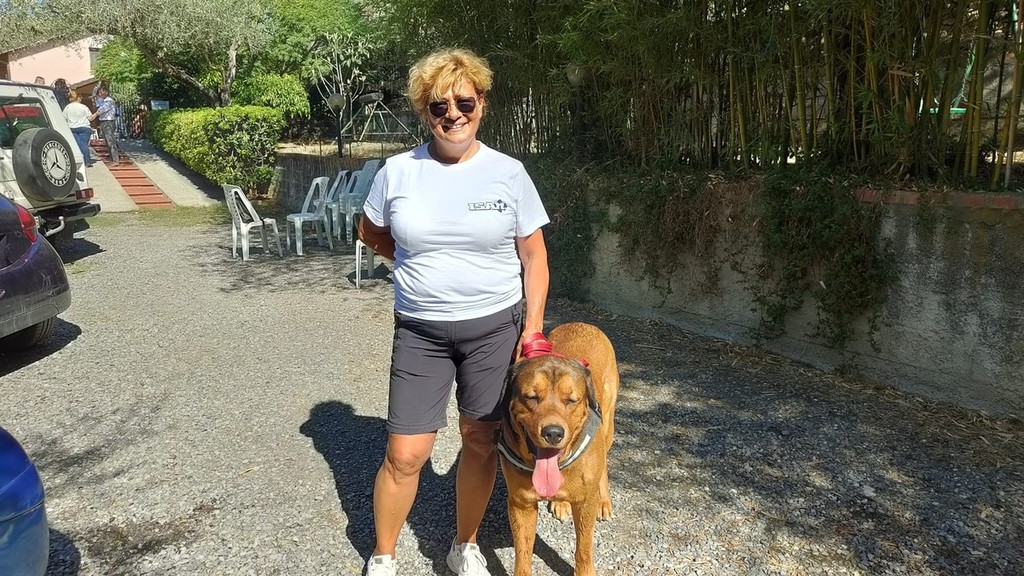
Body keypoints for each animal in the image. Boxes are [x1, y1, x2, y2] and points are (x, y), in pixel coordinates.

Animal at [497, 322, 619, 576]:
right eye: (531, 397)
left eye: (571, 400)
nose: (553, 433)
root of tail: (582, 323)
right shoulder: (521, 503)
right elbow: (523, 553)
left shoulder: (585, 503)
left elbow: (584, 547)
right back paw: (560, 502)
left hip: (608, 423)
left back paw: (604, 501)